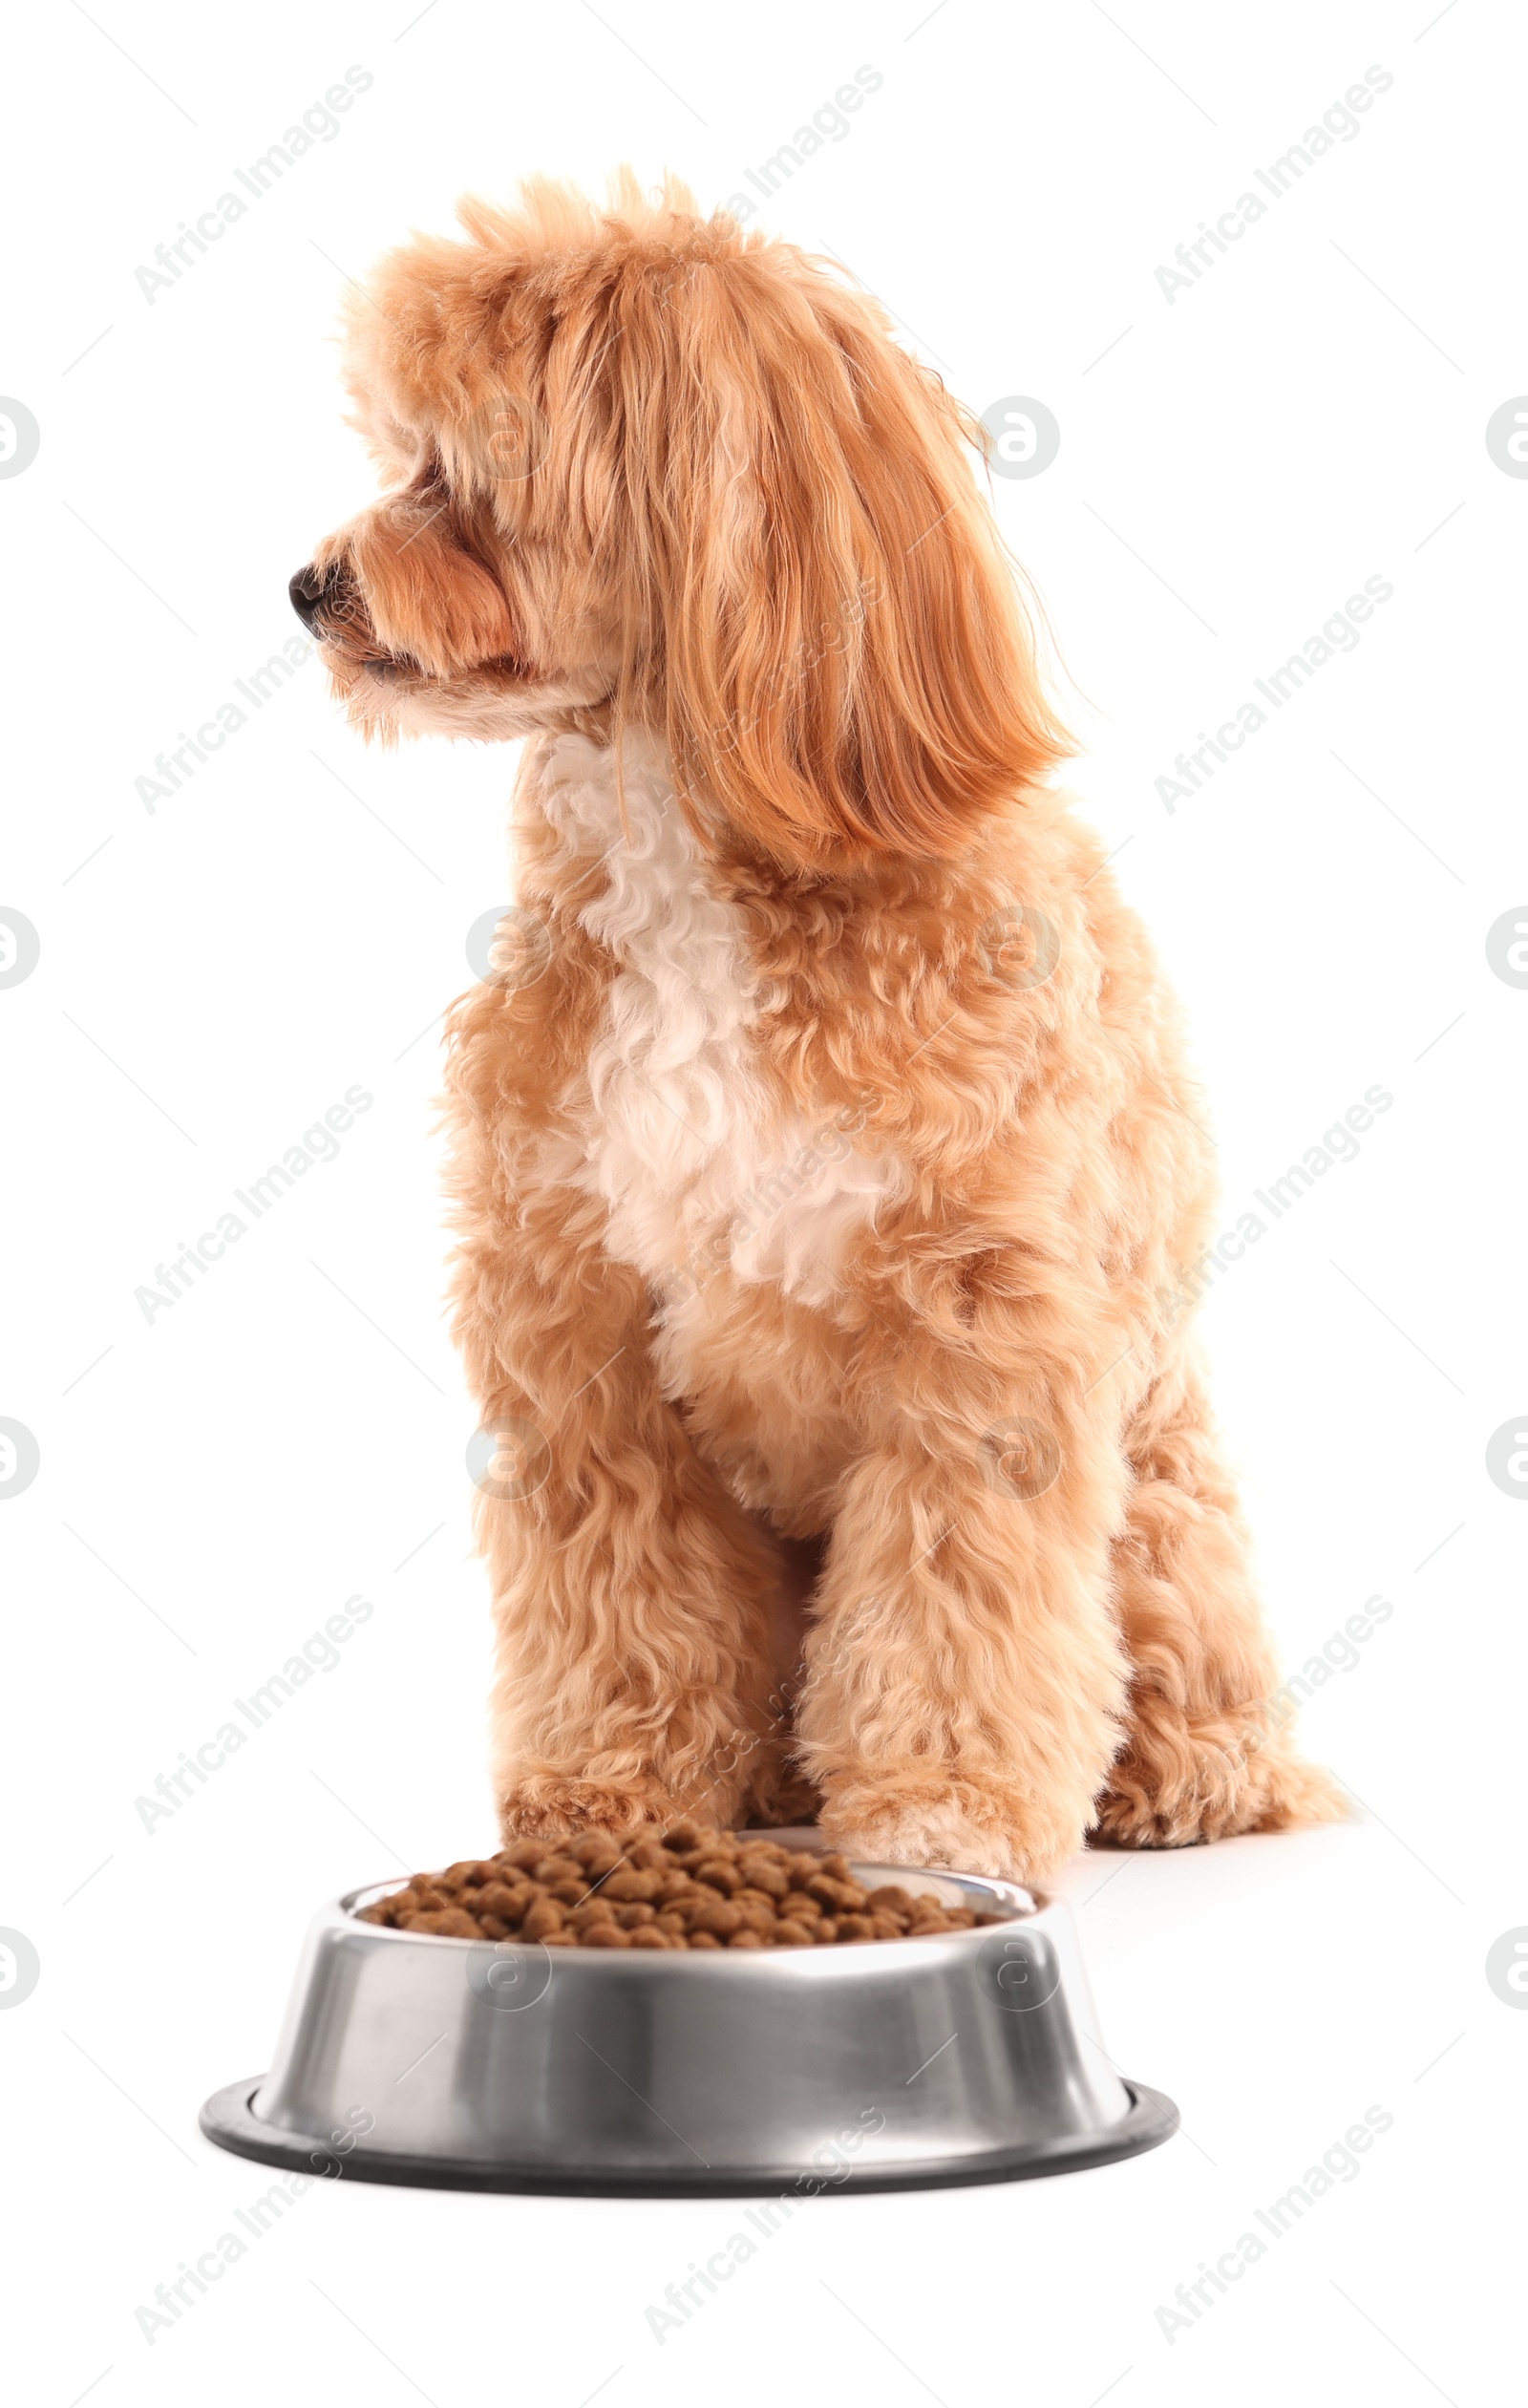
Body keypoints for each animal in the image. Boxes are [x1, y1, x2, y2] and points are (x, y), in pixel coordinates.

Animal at [292, 174, 1348, 1878]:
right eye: (401, 453)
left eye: (468, 467)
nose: (308, 586)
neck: (689, 874)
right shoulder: (578, 1324)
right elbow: (623, 1590)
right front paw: (612, 1791)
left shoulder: (978, 1341)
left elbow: (954, 1599)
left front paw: (940, 1812)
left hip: (1165, 1515)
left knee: (1180, 1674)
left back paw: (1177, 1778)